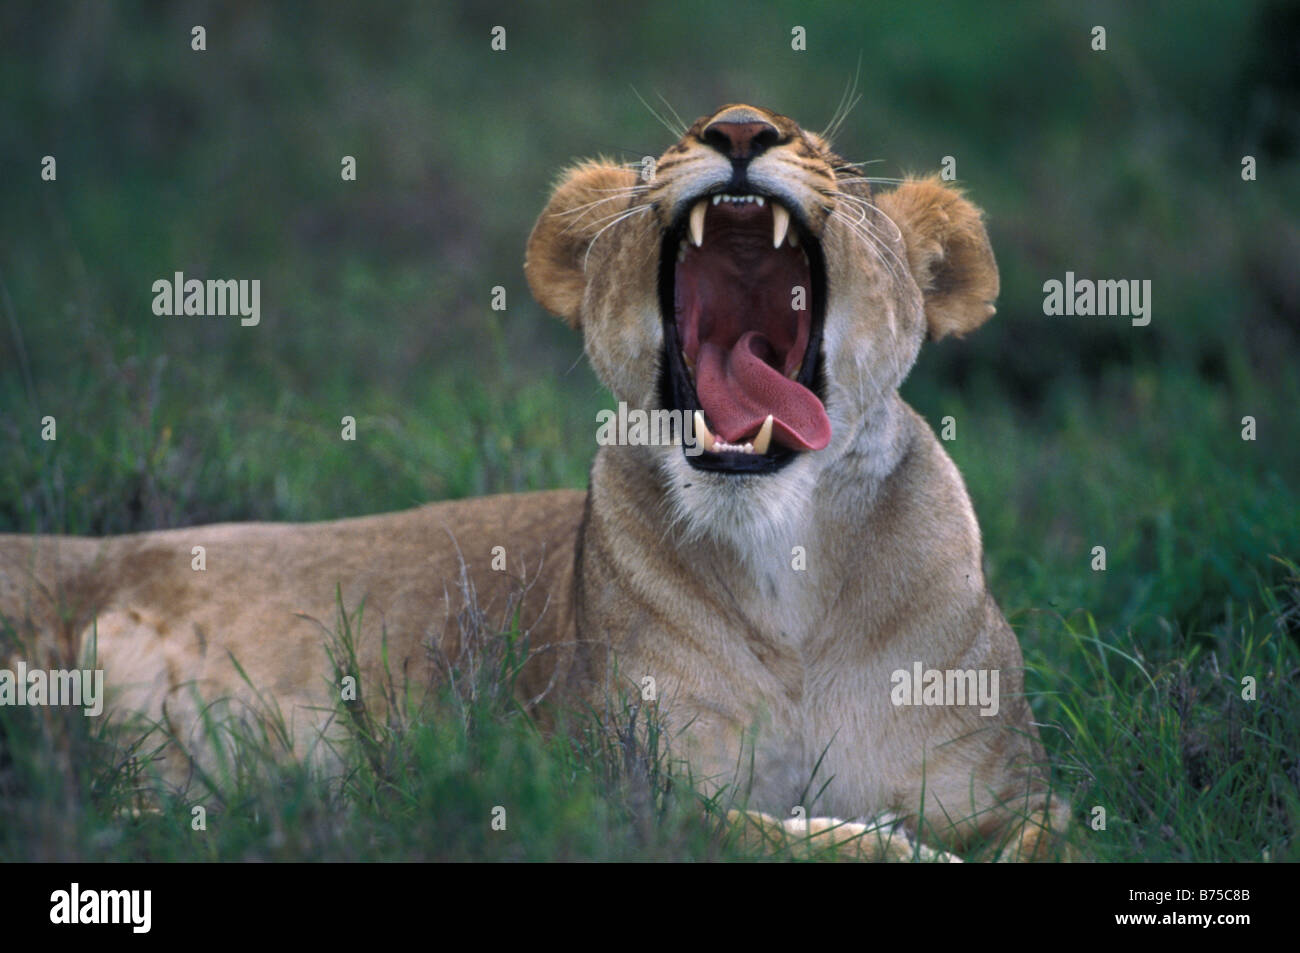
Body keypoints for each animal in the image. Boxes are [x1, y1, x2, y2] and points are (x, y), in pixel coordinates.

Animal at [0, 103, 1069, 861]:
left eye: (839, 166)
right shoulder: (615, 786)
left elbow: (1053, 835)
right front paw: (890, 848)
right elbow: (751, 833)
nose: (737, 130)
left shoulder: (1009, 786)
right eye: (668, 150)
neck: (786, 557)